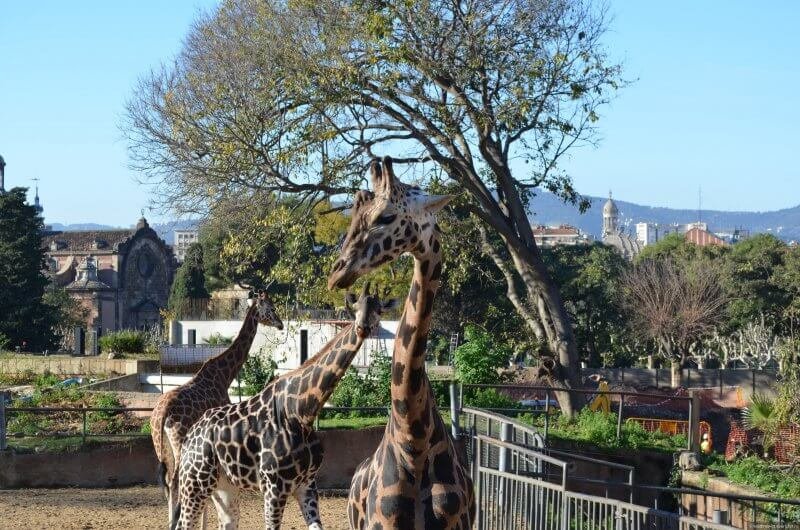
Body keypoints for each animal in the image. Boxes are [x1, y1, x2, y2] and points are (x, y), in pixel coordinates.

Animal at [150, 291, 283, 527]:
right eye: (271, 308)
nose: (281, 324)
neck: (224, 374)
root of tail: (162, 414)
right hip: (178, 441)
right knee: (176, 480)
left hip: (160, 445)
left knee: (168, 482)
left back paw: (171, 522)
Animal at [172, 283, 397, 530]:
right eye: (355, 308)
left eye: (378, 310)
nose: (363, 328)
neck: (302, 411)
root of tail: (190, 436)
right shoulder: (273, 487)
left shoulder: (307, 484)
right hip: (195, 483)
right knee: (183, 522)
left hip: (224, 487)